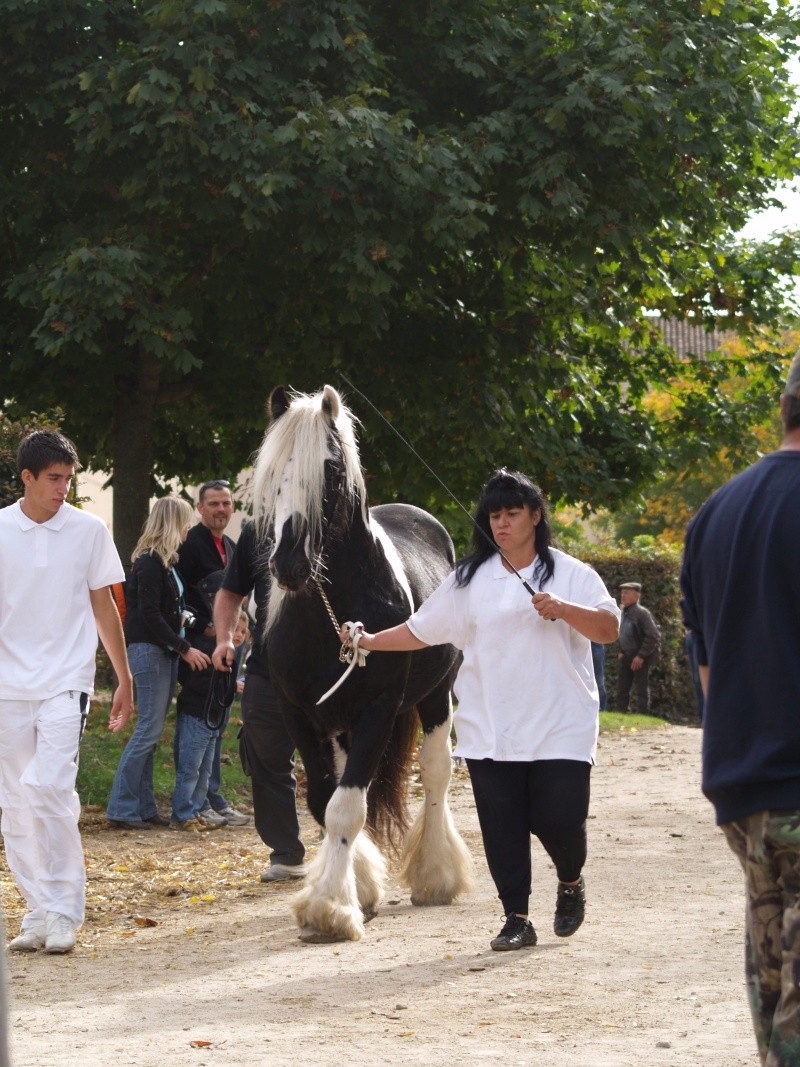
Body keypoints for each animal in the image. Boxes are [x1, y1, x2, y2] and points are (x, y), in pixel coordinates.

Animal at [253, 384, 473, 943]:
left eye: (330, 471)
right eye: (271, 469)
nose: (288, 564)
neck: (330, 610)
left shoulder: (378, 708)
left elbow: (347, 806)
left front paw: (331, 907)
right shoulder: (299, 712)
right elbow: (324, 800)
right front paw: (357, 889)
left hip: (435, 699)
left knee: (435, 775)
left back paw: (436, 875)